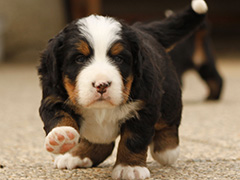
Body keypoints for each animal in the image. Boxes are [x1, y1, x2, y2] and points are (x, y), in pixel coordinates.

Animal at [39, 0, 208, 179]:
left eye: (119, 58)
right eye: (79, 59)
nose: (101, 84)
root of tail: (143, 30)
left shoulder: (143, 107)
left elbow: (133, 139)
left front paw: (130, 167)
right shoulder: (52, 98)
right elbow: (59, 116)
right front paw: (61, 136)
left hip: (170, 94)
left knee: (169, 121)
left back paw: (167, 150)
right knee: (101, 143)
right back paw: (76, 155)